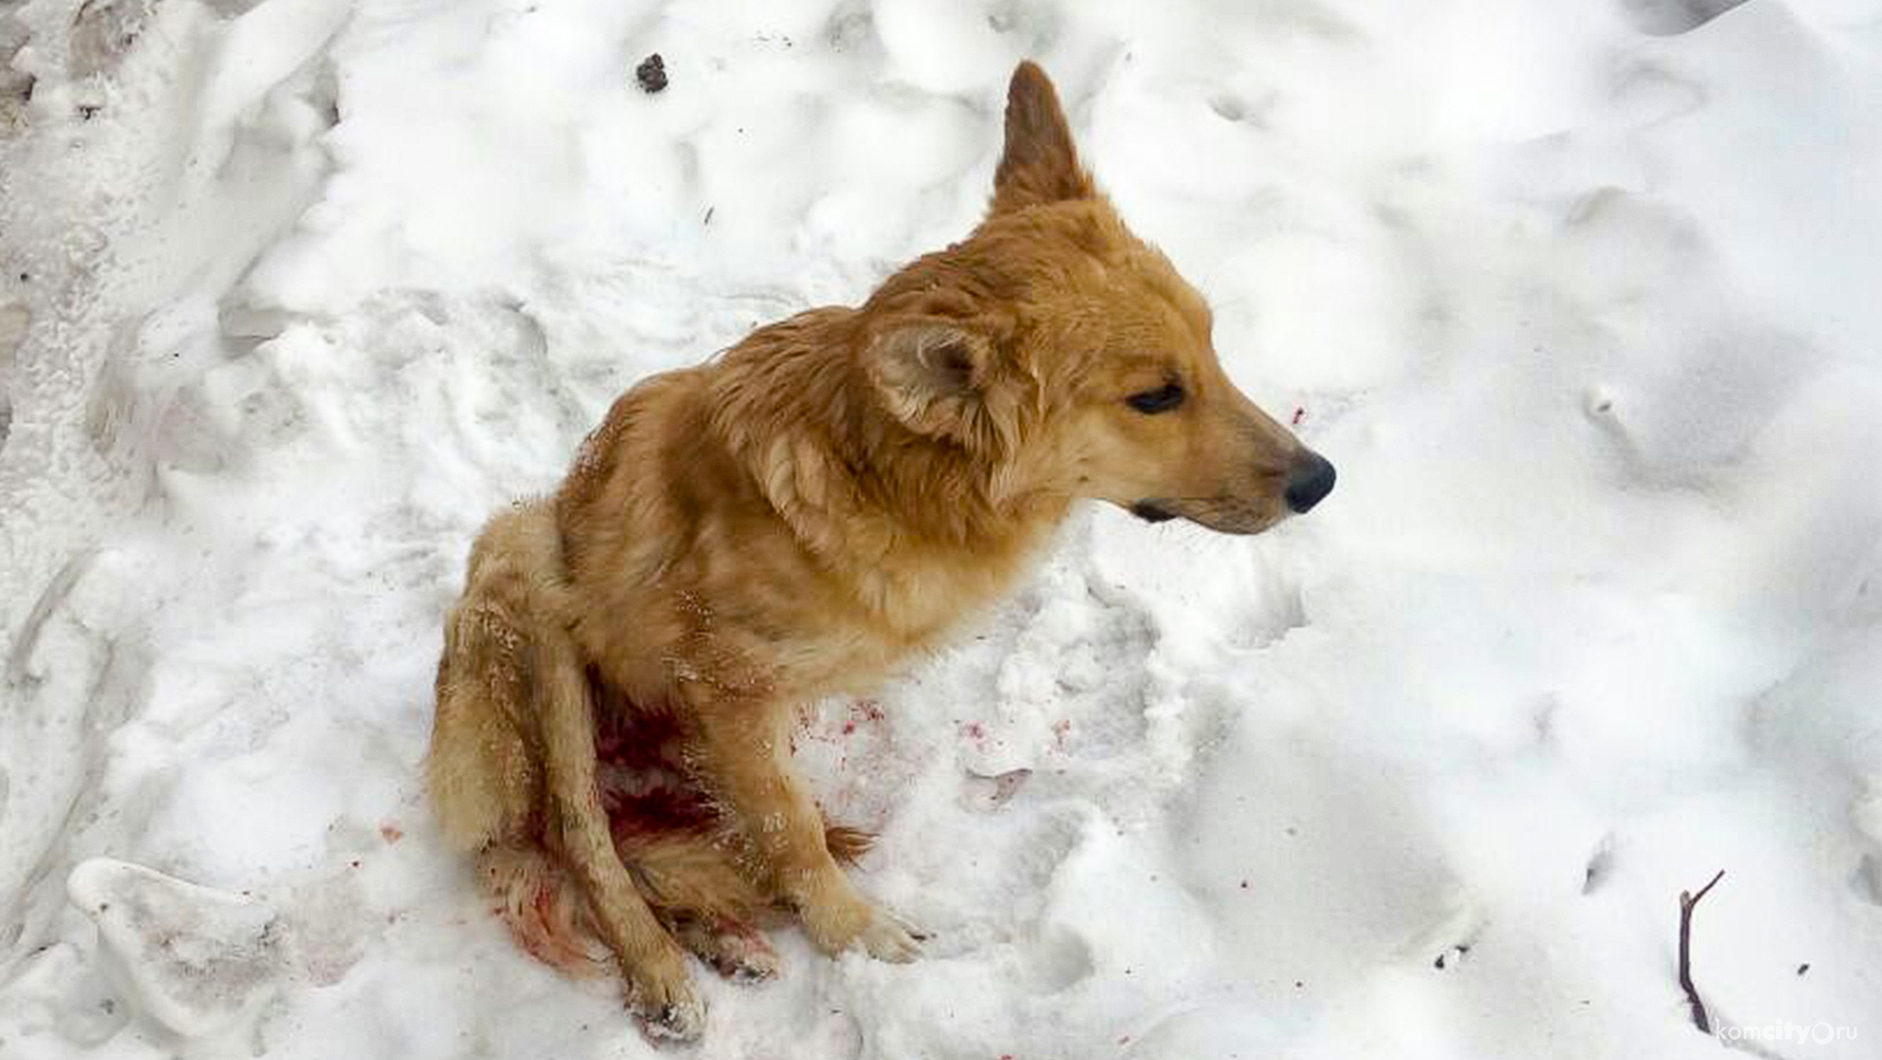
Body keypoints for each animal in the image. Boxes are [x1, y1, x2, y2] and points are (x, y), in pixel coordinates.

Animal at [427, 60, 1339, 1046]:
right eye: (1156, 397)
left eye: (1211, 344)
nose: (1321, 480)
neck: (889, 482)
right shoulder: (725, 689)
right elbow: (788, 831)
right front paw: (851, 931)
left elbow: (770, 829)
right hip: (527, 563)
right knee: (581, 837)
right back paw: (662, 972)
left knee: (646, 851)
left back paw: (720, 936)